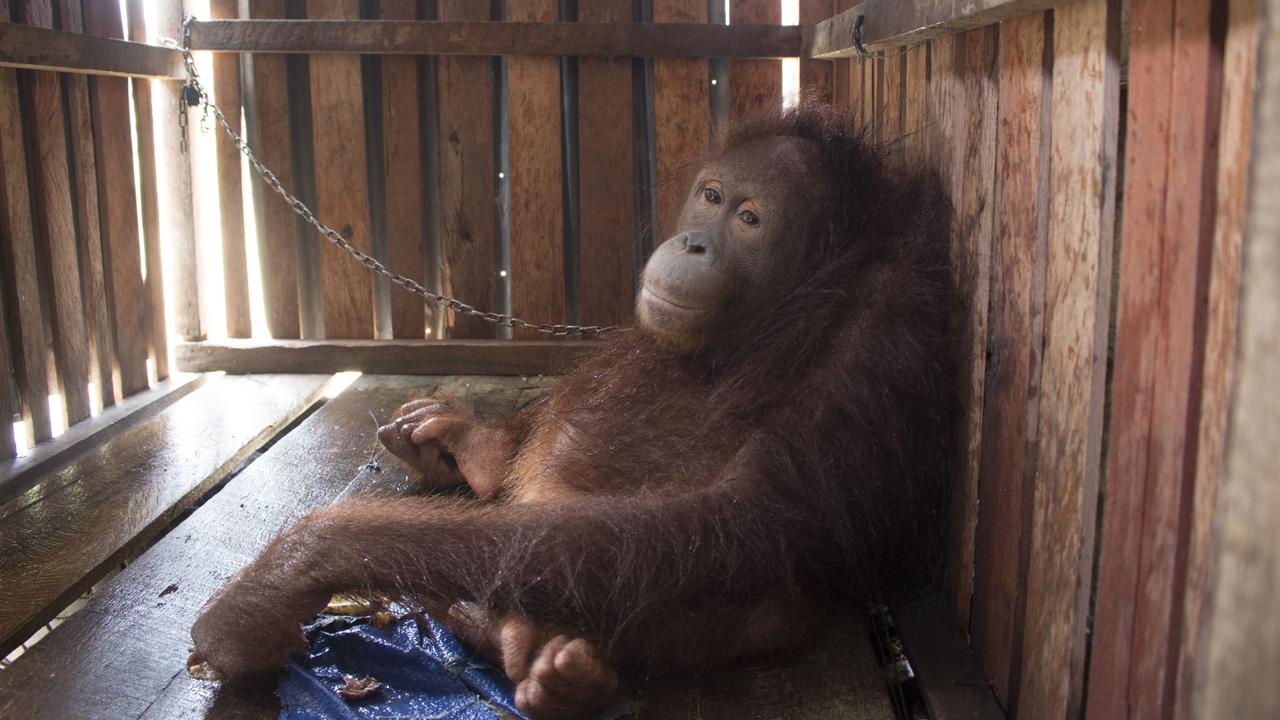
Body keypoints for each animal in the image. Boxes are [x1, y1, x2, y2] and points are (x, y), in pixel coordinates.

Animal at [189, 102, 962, 719]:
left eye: (749, 220)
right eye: (711, 197)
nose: (695, 241)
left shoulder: (876, 341)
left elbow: (735, 516)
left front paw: (287, 571)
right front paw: (459, 441)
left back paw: (551, 659)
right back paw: (477, 477)